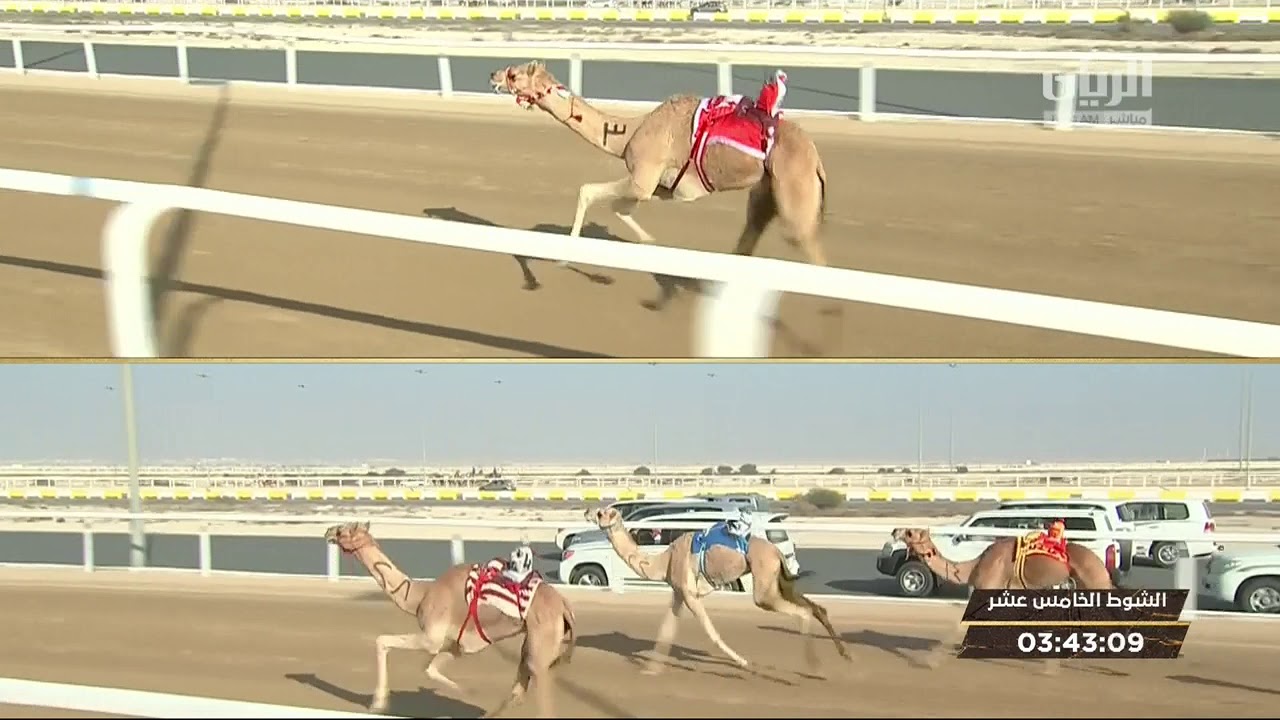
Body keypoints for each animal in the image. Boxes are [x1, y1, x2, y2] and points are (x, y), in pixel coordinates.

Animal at [324, 522, 576, 718]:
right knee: (519, 686)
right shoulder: (456, 645)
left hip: (541, 640)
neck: (419, 595)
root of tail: (564, 606)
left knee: (539, 684)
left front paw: (377, 704)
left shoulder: (431, 637)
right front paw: (470, 691)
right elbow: (430, 669)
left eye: (343, 530)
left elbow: (382, 641)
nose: (328, 531)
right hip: (533, 642)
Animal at [489, 61, 831, 279]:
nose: (493, 73)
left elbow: (589, 192)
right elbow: (621, 209)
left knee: (810, 248)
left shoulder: (643, 176)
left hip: (794, 191)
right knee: (751, 234)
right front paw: (650, 243)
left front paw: (562, 259)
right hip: (766, 191)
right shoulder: (663, 188)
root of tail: (816, 160)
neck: (628, 134)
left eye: (514, 74)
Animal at [586, 506, 850, 675]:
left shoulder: (690, 594)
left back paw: (815, 666)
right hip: (778, 581)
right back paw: (845, 654)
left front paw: (743, 662)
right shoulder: (679, 593)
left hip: (763, 586)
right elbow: (666, 630)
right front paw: (650, 669)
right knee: (817, 608)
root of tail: (775, 551)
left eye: (601, 512)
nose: (587, 512)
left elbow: (711, 633)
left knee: (802, 612)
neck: (664, 561)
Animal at [892, 527, 1116, 673]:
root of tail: (1102, 564)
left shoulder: (989, 587)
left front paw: (929, 662)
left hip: (1095, 581)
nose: (894, 530)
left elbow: (962, 623)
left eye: (910, 533)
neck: (973, 567)